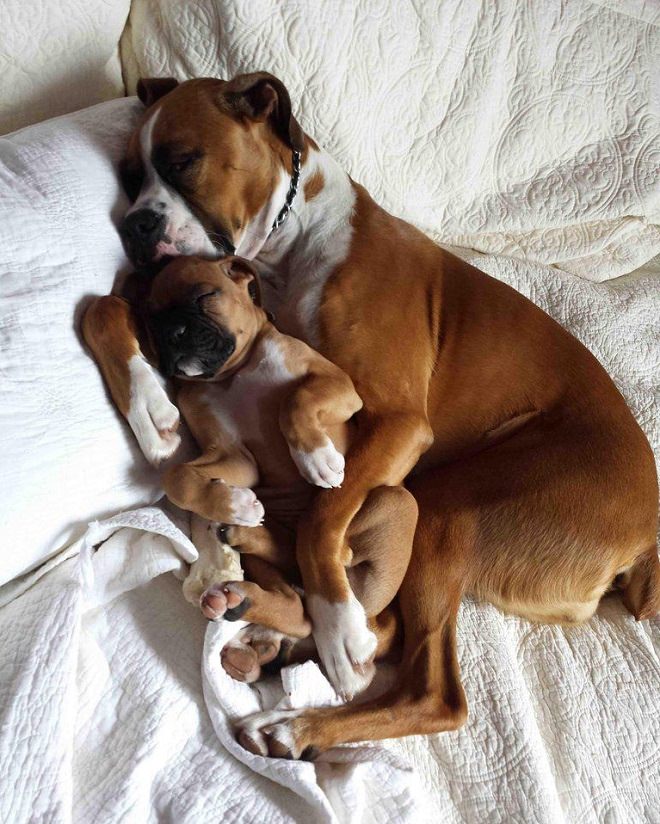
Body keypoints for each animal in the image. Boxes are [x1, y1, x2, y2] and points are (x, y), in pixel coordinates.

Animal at [150, 256, 418, 696]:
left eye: (204, 296)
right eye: (150, 322)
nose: (171, 334)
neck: (234, 374)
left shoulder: (336, 384)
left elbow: (295, 401)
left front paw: (316, 457)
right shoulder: (232, 455)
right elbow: (177, 476)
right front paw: (232, 502)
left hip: (395, 500)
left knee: (330, 568)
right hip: (271, 567)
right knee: (298, 609)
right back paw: (238, 572)